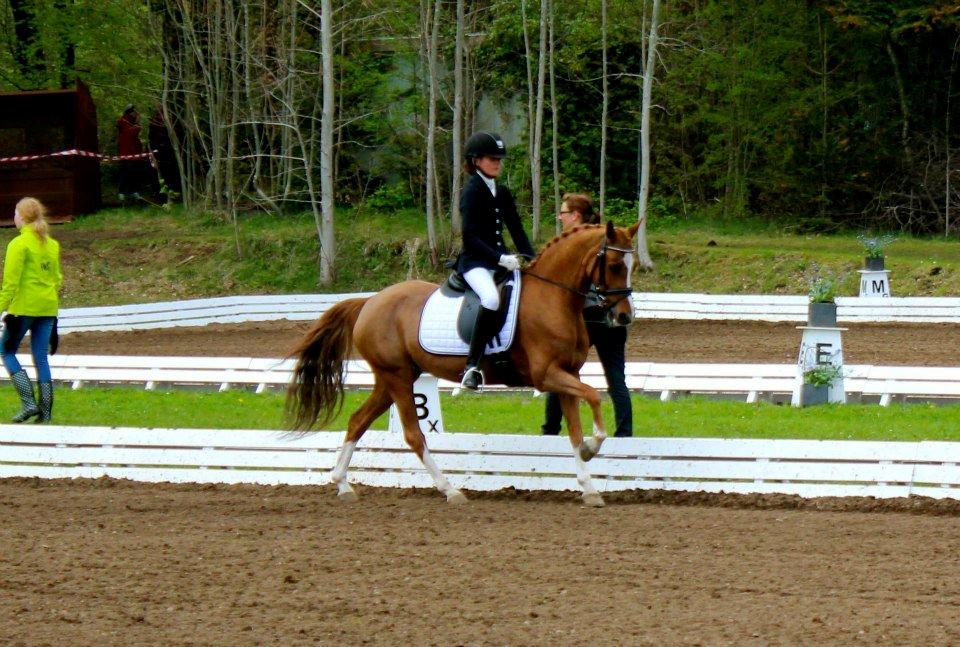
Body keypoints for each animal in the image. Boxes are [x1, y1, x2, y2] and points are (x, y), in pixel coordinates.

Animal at [287, 220, 639, 507]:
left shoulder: (567, 375)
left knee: (357, 421)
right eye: (613, 264)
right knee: (413, 435)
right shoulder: (547, 375)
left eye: (631, 265)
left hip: (394, 378)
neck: (555, 298)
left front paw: (589, 487)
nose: (624, 316)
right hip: (397, 377)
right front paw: (593, 448)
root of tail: (370, 301)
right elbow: (594, 396)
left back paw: (342, 484)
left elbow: (575, 432)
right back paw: (450, 490)